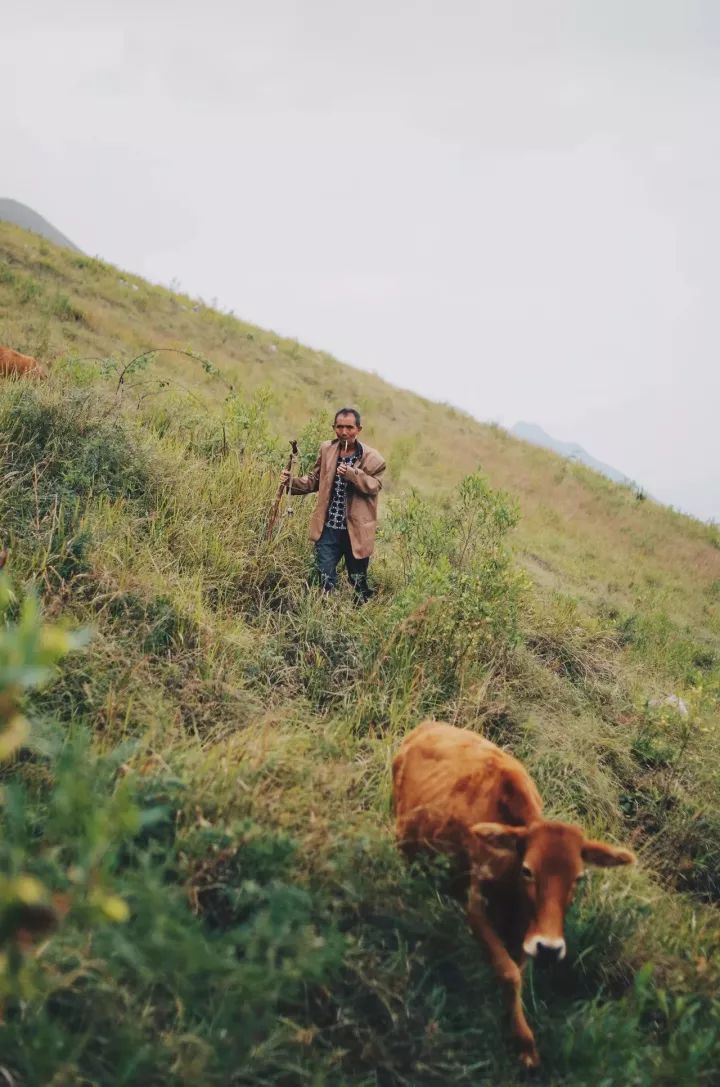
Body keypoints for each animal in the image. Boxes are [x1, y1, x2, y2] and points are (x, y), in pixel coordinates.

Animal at [391, 721, 635, 1069]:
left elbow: (516, 972)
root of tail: (428, 725)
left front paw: (520, 1038)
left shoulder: (525, 935)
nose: (549, 948)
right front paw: (524, 1040)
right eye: (528, 870)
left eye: (578, 877)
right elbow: (508, 973)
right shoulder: (476, 907)